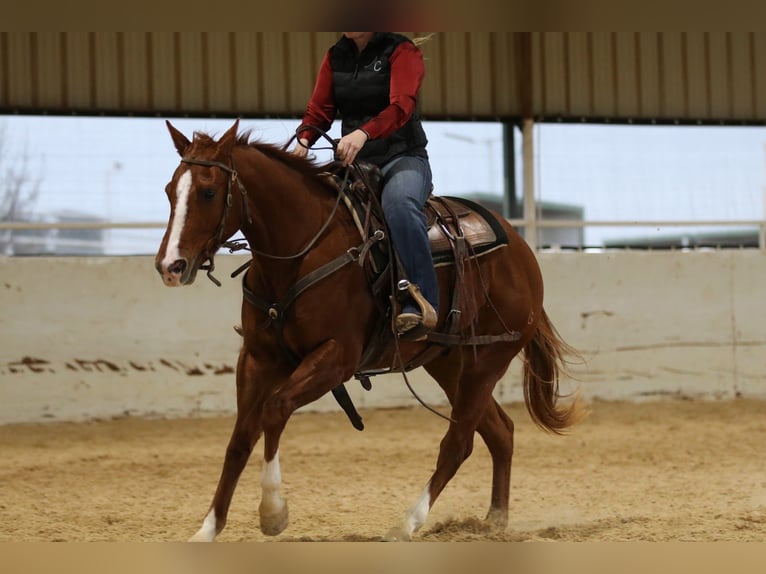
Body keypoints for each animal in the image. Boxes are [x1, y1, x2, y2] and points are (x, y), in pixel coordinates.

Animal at [158, 119, 588, 544]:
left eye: (209, 192)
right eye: (169, 191)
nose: (171, 266)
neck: (303, 249)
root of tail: (521, 251)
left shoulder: (337, 357)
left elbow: (275, 410)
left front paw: (273, 513)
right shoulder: (258, 358)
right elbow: (239, 440)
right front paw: (208, 529)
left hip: (489, 360)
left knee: (459, 441)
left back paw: (408, 522)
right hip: (448, 362)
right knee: (500, 431)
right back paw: (494, 519)